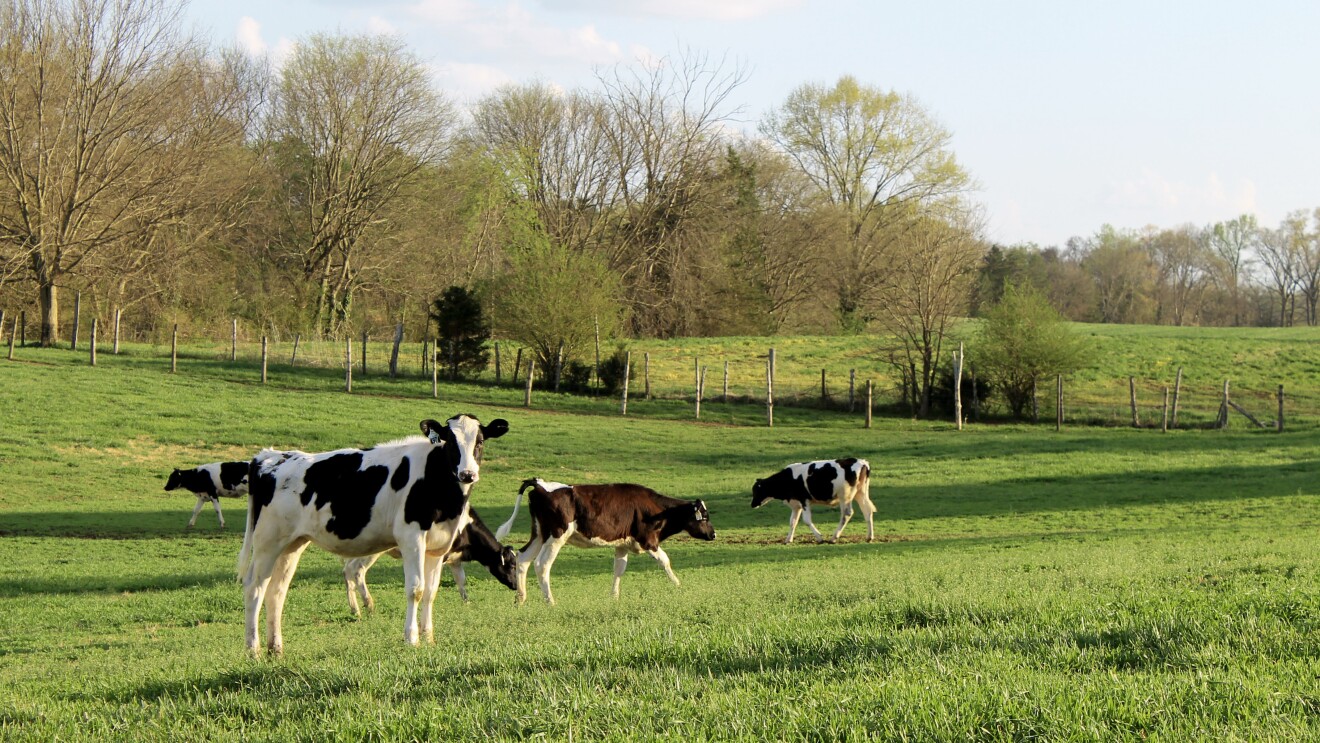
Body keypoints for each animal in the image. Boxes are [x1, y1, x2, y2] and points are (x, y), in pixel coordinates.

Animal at [342, 507, 517, 615]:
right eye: (512, 565)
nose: (516, 585)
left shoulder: (455, 559)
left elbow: (461, 580)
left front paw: (466, 601)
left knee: (347, 570)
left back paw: (355, 609)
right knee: (357, 570)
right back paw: (368, 605)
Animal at [496, 478, 716, 605]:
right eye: (704, 517)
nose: (713, 535)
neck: (656, 510)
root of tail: (539, 483)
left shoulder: (622, 544)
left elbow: (619, 569)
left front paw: (614, 597)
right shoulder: (648, 540)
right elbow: (665, 561)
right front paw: (679, 586)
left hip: (540, 533)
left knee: (523, 558)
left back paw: (521, 599)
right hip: (556, 535)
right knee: (542, 564)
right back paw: (550, 601)